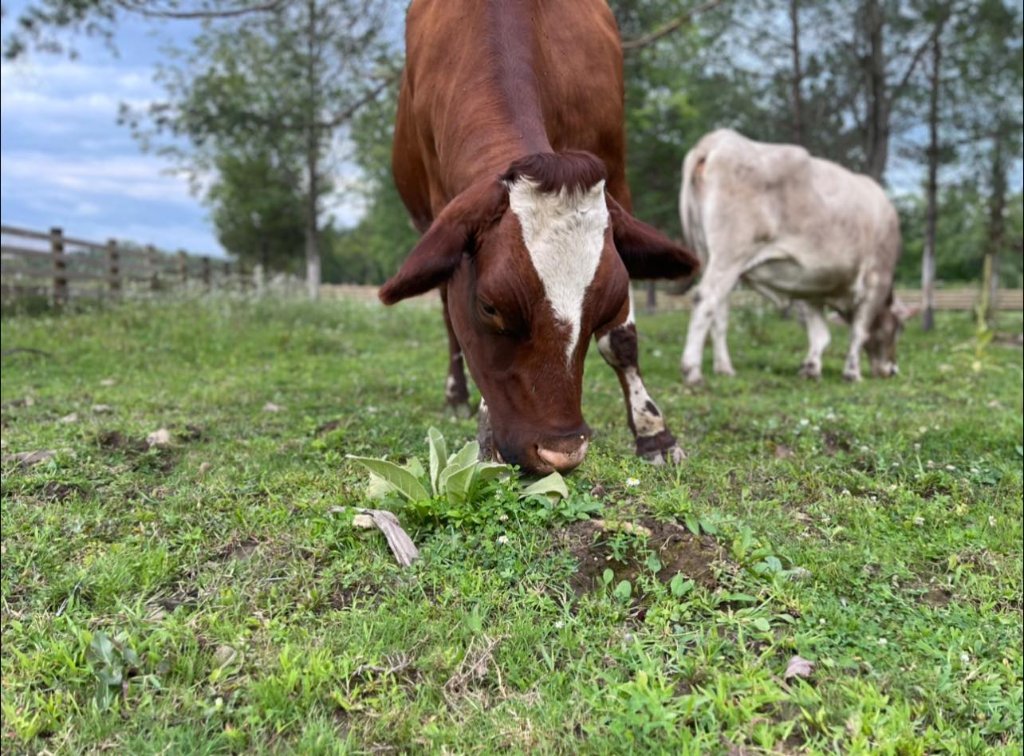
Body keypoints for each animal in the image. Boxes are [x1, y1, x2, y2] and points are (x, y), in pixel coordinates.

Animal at [379, 0, 700, 475]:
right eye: (489, 307)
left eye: (608, 304)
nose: (560, 452)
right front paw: (484, 426)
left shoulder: (615, 173)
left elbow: (622, 340)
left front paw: (653, 432)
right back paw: (456, 396)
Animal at [679, 129, 913, 385]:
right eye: (899, 328)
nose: (892, 369)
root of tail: (717, 139)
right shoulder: (876, 279)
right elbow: (859, 332)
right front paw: (852, 373)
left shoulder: (810, 285)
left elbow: (820, 334)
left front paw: (811, 369)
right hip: (729, 254)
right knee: (705, 299)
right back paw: (692, 371)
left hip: (709, 256)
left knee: (720, 312)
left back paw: (724, 368)